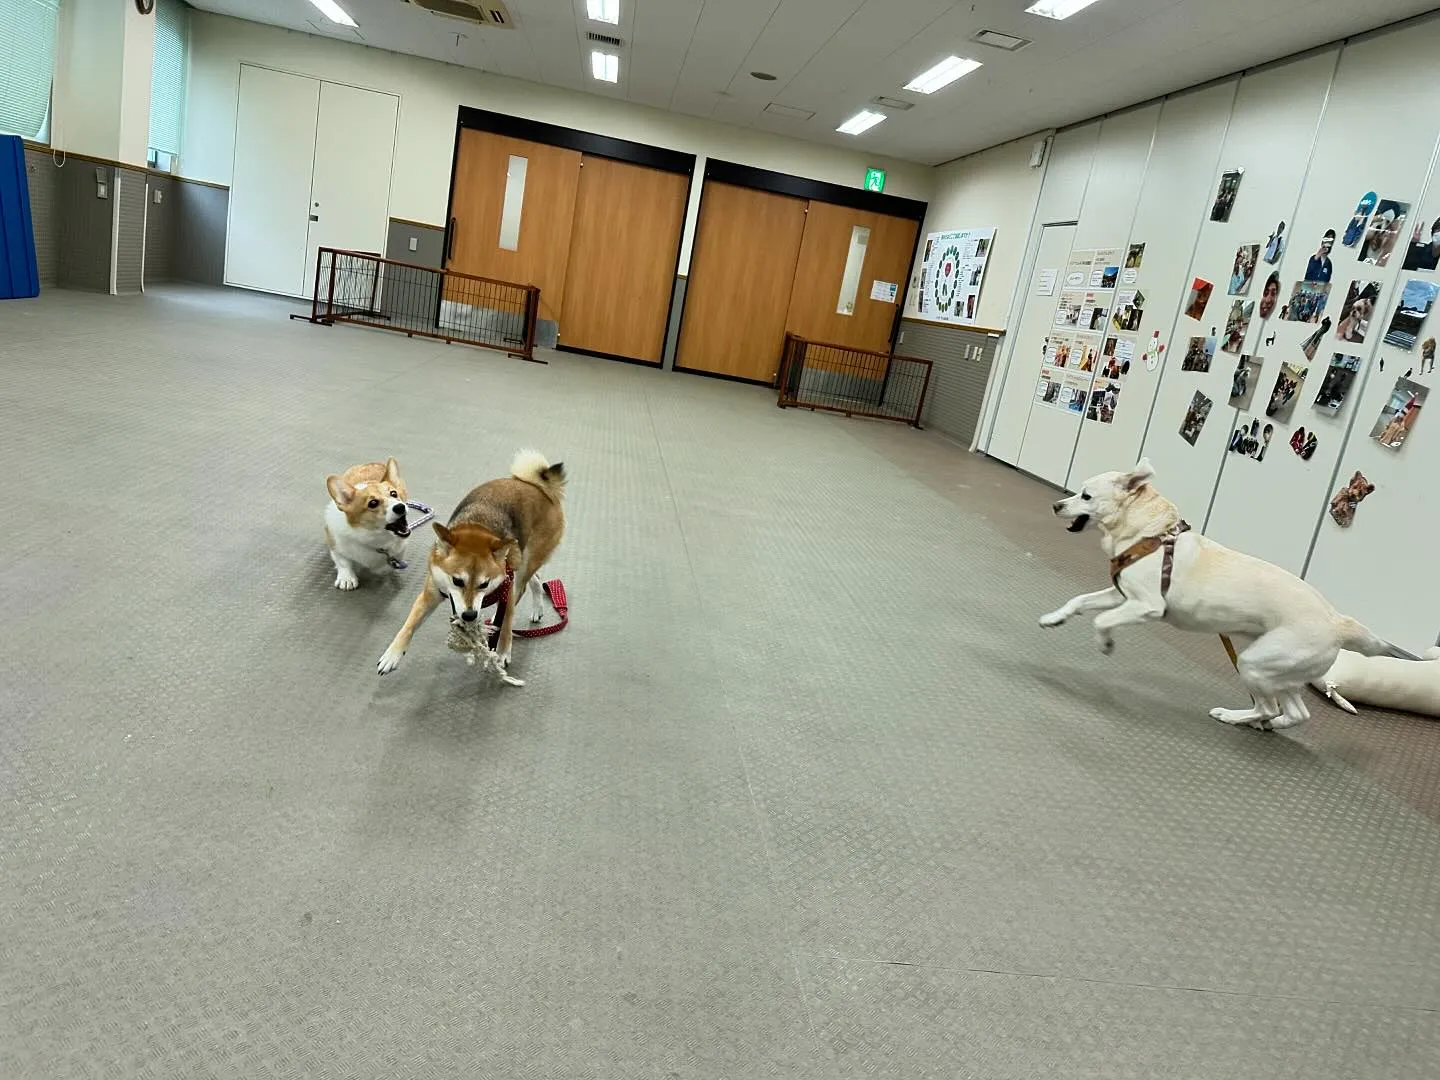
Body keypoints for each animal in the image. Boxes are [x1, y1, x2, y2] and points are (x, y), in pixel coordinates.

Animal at [325, 457, 411, 593]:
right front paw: (347, 578)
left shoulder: (401, 547)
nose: (400, 507)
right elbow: (343, 561)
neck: (373, 537)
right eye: (373, 503)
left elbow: (388, 564)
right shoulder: (334, 542)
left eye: (394, 494)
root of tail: (371, 462)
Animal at [377, 452, 567, 679]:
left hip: (526, 563)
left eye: (484, 584)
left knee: (522, 588)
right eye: (457, 581)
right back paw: (537, 609)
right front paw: (392, 655)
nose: (469, 615)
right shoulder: (430, 594)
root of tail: (540, 485)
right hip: (522, 560)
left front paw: (502, 651)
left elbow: (507, 621)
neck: (478, 525)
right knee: (536, 579)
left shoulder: (508, 586)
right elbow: (408, 626)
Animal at [1042, 460, 1411, 731]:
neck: (1153, 536)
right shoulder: (1122, 597)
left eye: (1086, 496)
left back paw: (1234, 717)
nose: (1056, 504)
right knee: (1296, 713)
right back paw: (1268, 724)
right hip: (1282, 672)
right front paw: (1053, 618)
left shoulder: (1147, 606)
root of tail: (1338, 622)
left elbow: (1102, 621)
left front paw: (1106, 644)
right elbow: (1079, 602)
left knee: (1268, 706)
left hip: (1256, 664)